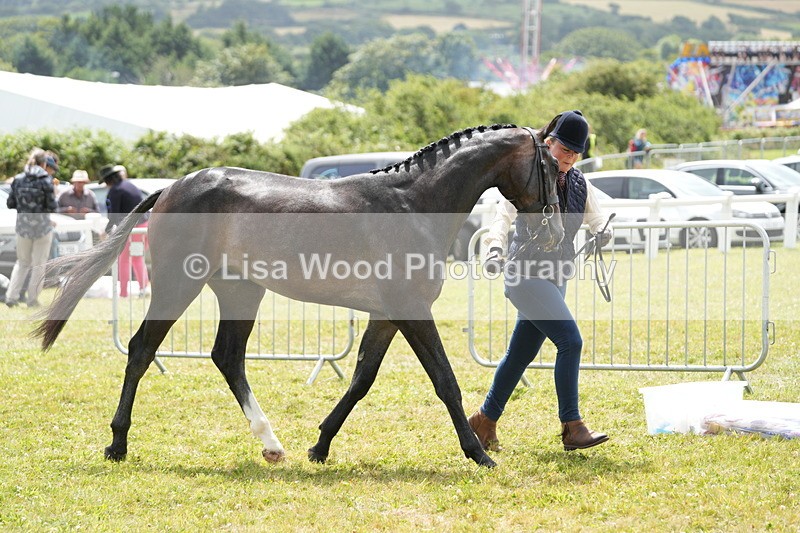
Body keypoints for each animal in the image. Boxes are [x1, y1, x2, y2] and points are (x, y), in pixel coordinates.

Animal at [35, 123, 563, 469]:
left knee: (227, 357)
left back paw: (272, 445)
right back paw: (118, 445)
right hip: (176, 286)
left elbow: (361, 379)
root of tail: (169, 189)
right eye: (549, 165)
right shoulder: (411, 311)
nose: (555, 230)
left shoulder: (387, 315)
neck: (412, 204)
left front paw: (320, 447)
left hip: (240, 292)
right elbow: (445, 381)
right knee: (143, 349)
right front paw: (478, 454)